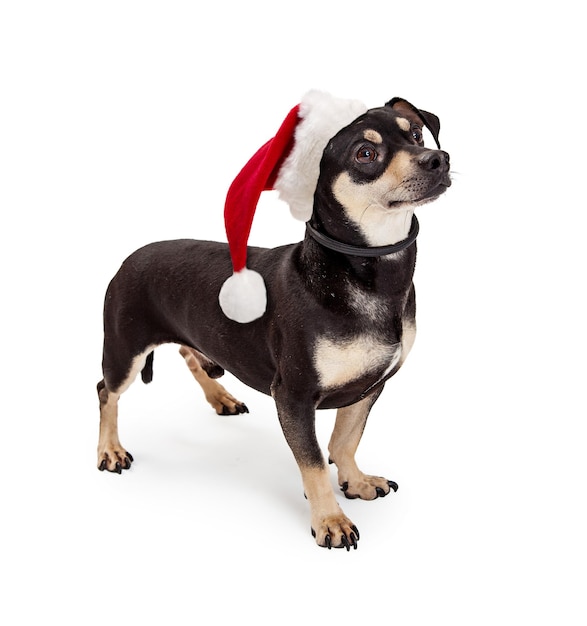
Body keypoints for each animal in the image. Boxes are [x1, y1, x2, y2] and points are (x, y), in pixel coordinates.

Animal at [99, 95, 452, 548]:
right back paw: (109, 450)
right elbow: (315, 461)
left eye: (417, 134)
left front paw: (355, 481)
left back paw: (220, 397)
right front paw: (330, 520)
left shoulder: (370, 386)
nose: (438, 160)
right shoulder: (294, 396)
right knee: (106, 392)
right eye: (365, 153)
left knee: (189, 354)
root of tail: (129, 257)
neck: (369, 271)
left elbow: (346, 440)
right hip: (124, 348)